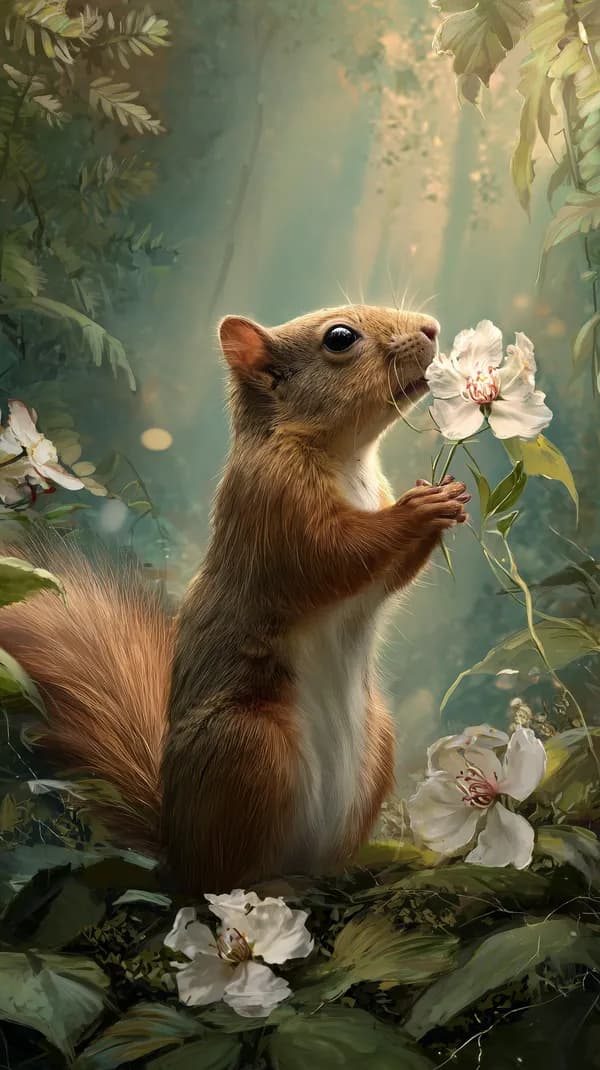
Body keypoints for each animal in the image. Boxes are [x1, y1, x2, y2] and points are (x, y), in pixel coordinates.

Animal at [0, 305, 469, 895]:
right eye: (340, 338)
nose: (431, 328)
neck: (347, 456)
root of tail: (177, 847)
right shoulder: (275, 506)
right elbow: (337, 554)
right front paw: (417, 509)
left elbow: (389, 576)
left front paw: (448, 498)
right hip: (249, 749)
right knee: (220, 878)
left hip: (376, 743)